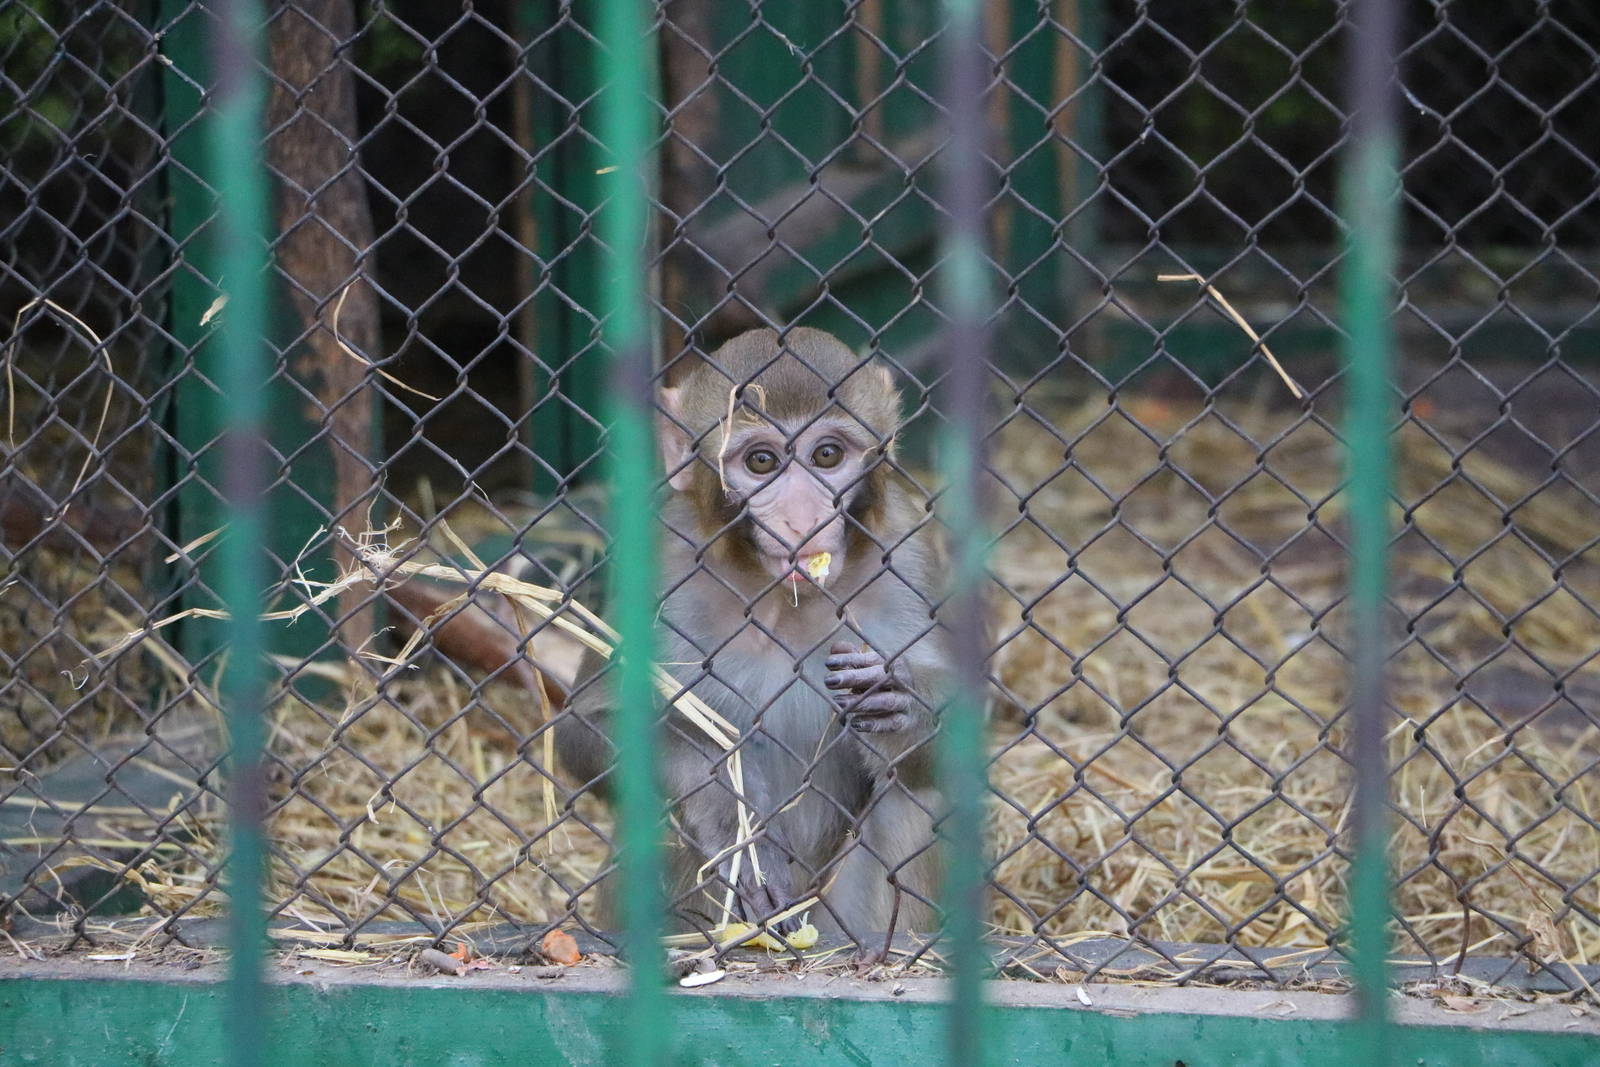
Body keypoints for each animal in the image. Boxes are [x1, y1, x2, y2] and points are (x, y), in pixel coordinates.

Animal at [555, 326, 956, 949]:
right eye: (762, 462)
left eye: (827, 455)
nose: (802, 520)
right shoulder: (660, 560)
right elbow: (584, 729)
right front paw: (731, 816)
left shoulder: (907, 548)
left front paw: (901, 702)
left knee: (919, 791)